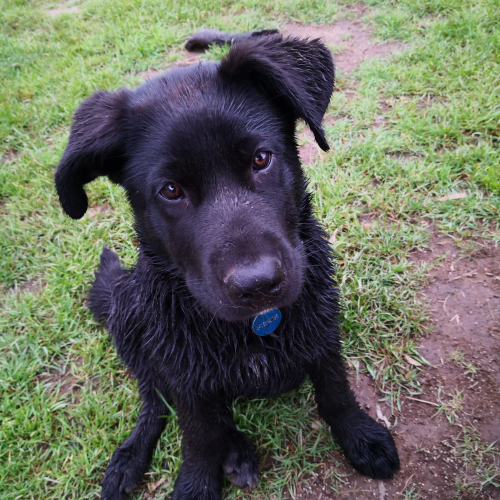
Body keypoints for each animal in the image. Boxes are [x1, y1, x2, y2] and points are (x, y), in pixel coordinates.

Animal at [54, 35, 398, 500]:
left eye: (261, 159)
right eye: (170, 190)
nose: (258, 284)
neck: (255, 327)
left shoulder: (323, 330)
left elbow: (335, 390)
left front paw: (359, 434)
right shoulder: (184, 375)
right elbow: (198, 435)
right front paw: (196, 483)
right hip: (130, 315)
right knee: (154, 399)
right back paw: (136, 456)